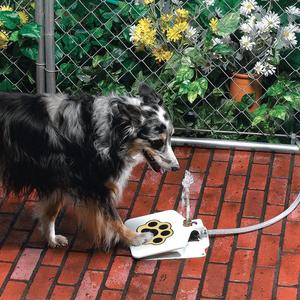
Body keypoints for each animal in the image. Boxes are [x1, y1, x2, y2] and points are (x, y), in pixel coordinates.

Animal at [0, 84, 178, 248]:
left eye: (171, 137)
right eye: (157, 142)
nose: (176, 168)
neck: (112, 127)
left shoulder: (58, 177)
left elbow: (51, 211)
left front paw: (52, 239)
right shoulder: (93, 185)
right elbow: (113, 217)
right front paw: (133, 238)